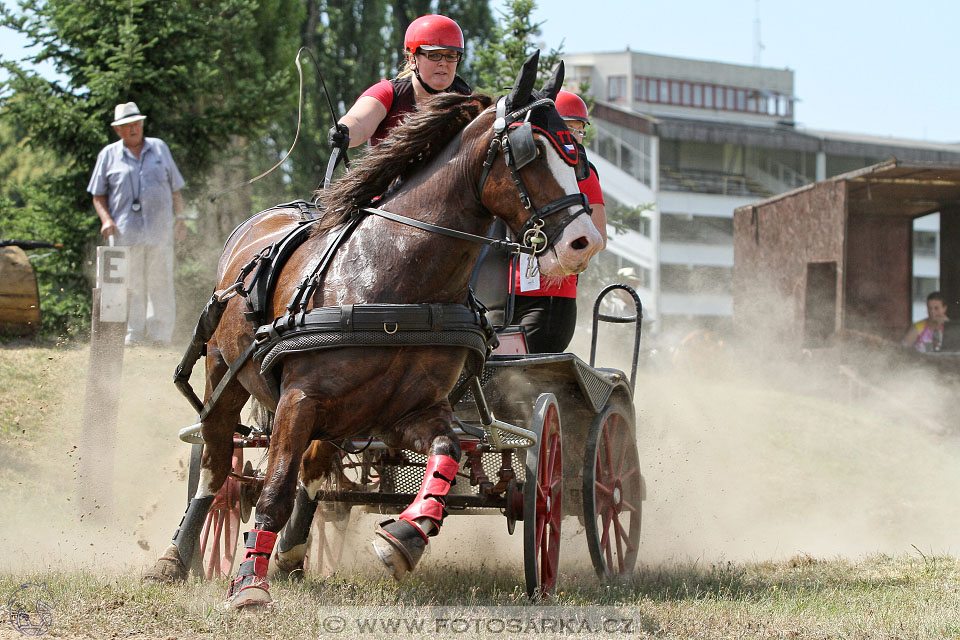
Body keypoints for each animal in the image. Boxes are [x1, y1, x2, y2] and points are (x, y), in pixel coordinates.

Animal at [142, 52, 600, 608]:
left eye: (579, 159)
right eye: (531, 151)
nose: (584, 242)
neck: (395, 282)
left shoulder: (410, 412)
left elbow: (447, 454)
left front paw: (405, 536)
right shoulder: (298, 400)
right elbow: (272, 489)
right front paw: (249, 584)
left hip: (339, 419)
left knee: (314, 474)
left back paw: (292, 556)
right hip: (223, 376)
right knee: (216, 465)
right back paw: (177, 557)